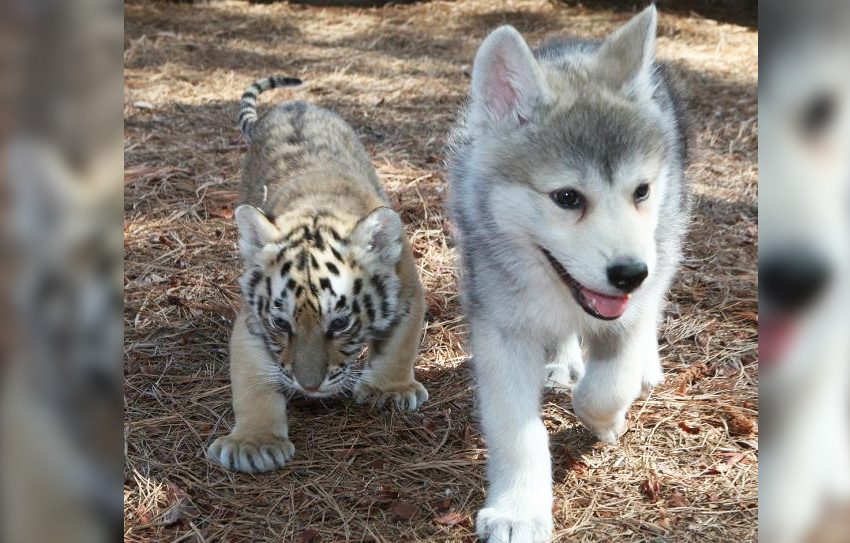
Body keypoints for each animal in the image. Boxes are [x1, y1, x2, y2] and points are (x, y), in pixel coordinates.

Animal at [444, 6, 688, 540]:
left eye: (641, 190)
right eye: (567, 198)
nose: (629, 275)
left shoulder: (632, 303)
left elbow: (606, 385)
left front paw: (605, 419)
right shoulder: (500, 328)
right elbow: (517, 430)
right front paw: (519, 511)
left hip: (667, 240)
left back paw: (646, 367)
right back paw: (561, 361)